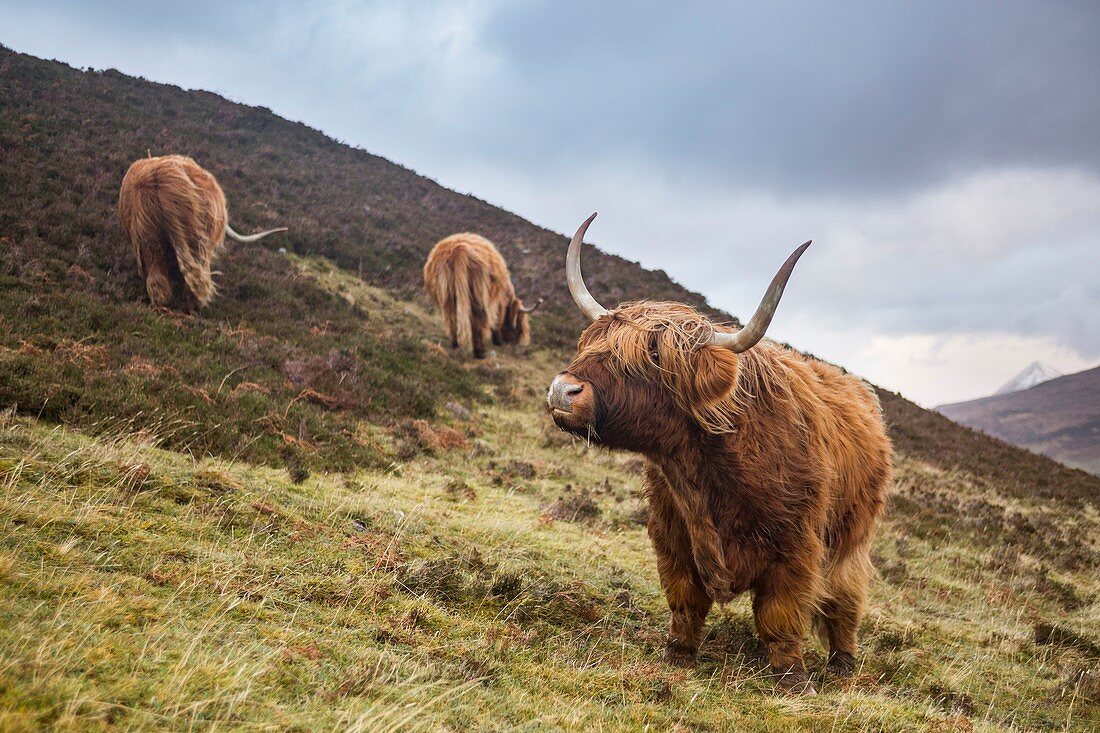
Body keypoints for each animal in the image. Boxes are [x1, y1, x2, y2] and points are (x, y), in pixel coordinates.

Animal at [119, 155, 288, 310]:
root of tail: (159, 176)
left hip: (148, 236)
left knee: (157, 274)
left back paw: (161, 306)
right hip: (196, 241)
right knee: (196, 275)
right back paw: (194, 307)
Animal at [545, 211, 888, 691]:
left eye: (652, 359)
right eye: (591, 342)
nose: (563, 390)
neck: (704, 471)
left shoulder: (796, 548)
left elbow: (782, 614)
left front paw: (791, 679)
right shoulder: (672, 536)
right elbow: (685, 600)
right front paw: (678, 656)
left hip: (852, 534)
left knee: (846, 596)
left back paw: (842, 662)